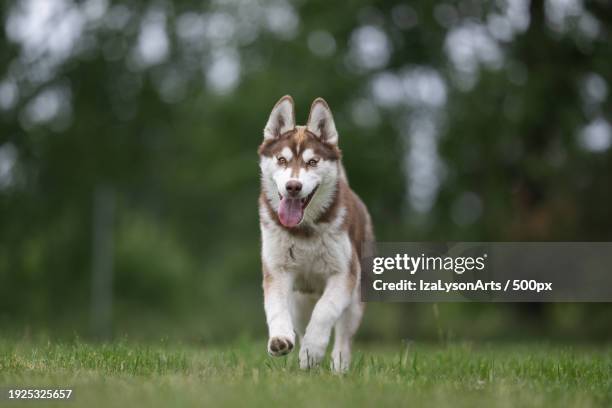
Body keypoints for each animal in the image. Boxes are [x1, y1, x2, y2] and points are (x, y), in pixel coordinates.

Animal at [256, 94, 372, 372]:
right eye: (282, 160)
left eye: (312, 162)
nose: (293, 186)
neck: (304, 230)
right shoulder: (277, 270)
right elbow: (275, 307)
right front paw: (280, 339)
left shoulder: (344, 274)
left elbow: (325, 311)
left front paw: (312, 351)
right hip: (300, 299)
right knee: (300, 321)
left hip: (356, 299)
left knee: (343, 335)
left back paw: (339, 366)